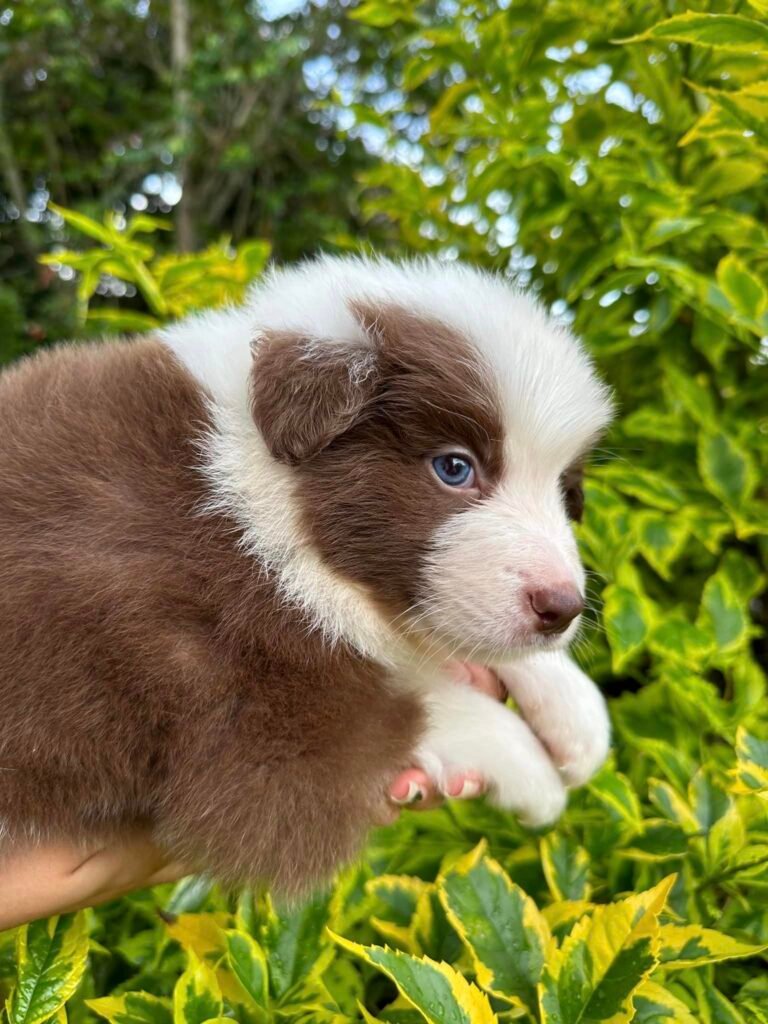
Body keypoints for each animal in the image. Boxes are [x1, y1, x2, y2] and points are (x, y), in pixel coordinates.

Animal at [0, 258, 614, 897]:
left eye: (564, 489)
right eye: (454, 467)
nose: (562, 608)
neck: (248, 502)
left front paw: (576, 713)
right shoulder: (249, 728)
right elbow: (413, 704)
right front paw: (533, 771)